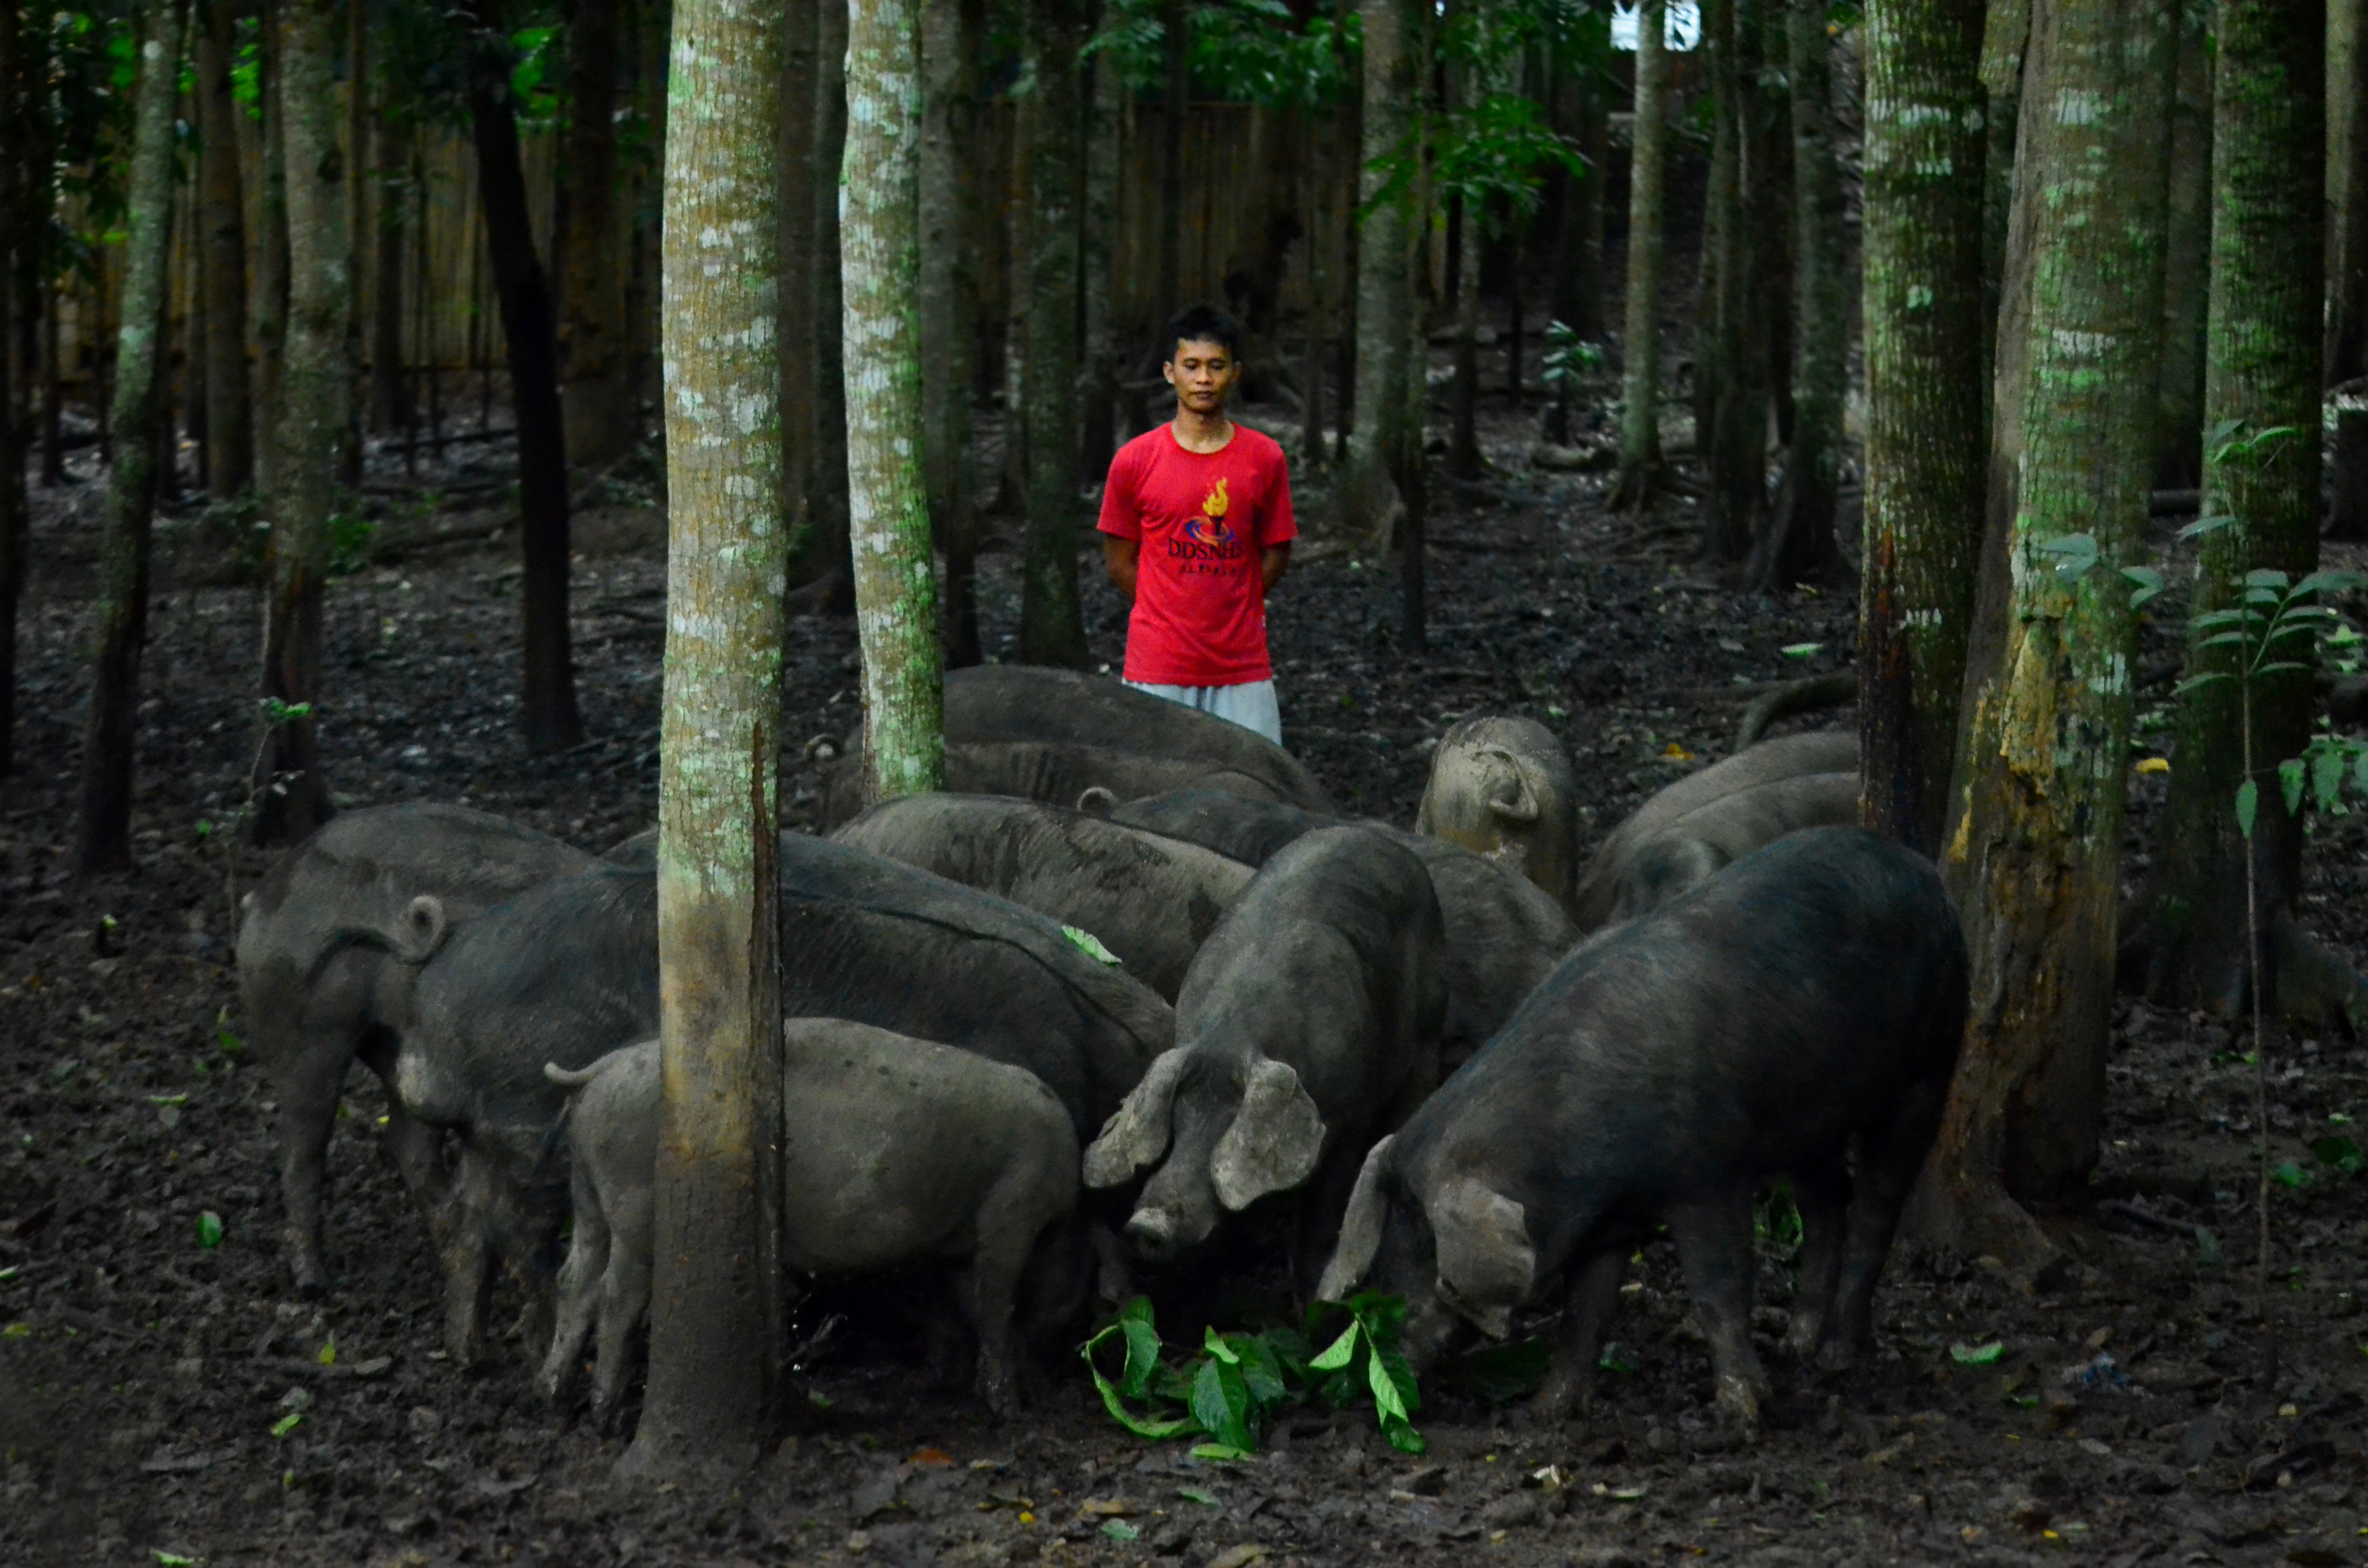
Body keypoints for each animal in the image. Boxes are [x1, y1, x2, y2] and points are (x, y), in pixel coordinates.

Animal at [234, 804, 599, 1293]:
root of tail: (262, 895)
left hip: (394, 1047)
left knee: (407, 1141)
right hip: (307, 1034)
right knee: (302, 1146)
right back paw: (315, 1282)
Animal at [395, 835, 1172, 1361]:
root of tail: (437, 990)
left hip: (494, 1135)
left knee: (469, 1221)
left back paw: (469, 1354)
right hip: (525, 1121)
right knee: (517, 1234)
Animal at [537, 1022, 1078, 1422]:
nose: (1057, 1388)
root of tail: (602, 1069)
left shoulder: (957, 1243)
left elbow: (971, 1307)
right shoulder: (1011, 1213)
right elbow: (997, 1306)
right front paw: (1012, 1412)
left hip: (587, 1186)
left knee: (574, 1279)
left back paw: (551, 1394)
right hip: (634, 1201)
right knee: (617, 1295)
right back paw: (605, 1417)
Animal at [1083, 826, 1449, 1280]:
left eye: (1229, 1122)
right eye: (1177, 1119)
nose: (1147, 1225)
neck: (1232, 1037)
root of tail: (1376, 836)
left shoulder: (1352, 1112)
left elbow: (1324, 1208)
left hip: (1431, 1027)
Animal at [1317, 827, 1966, 1437]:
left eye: (1425, 1245)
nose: (1388, 1358)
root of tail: (1923, 871)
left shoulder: (1710, 1178)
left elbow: (1717, 1293)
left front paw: (1743, 1417)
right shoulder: (1607, 1221)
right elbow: (1586, 1312)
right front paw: (1545, 1414)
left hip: (1927, 1068)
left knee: (1877, 1205)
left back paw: (1835, 1358)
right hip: (1804, 1120)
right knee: (1830, 1197)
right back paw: (1798, 1345)